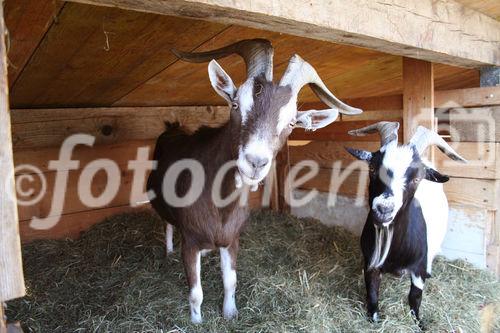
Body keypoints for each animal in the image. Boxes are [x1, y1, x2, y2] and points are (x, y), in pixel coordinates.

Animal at [146, 38, 362, 322]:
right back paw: (168, 250)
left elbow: (230, 282)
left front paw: (230, 313)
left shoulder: (232, 240)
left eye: (292, 123)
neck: (221, 206)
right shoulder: (190, 242)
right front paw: (196, 321)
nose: (256, 162)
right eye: (236, 105)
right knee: (166, 223)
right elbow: (195, 293)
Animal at [346, 121, 466, 322]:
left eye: (417, 178)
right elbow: (372, 296)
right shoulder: (370, 262)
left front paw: (419, 323)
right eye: (372, 169)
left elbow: (414, 298)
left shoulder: (418, 269)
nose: (384, 210)